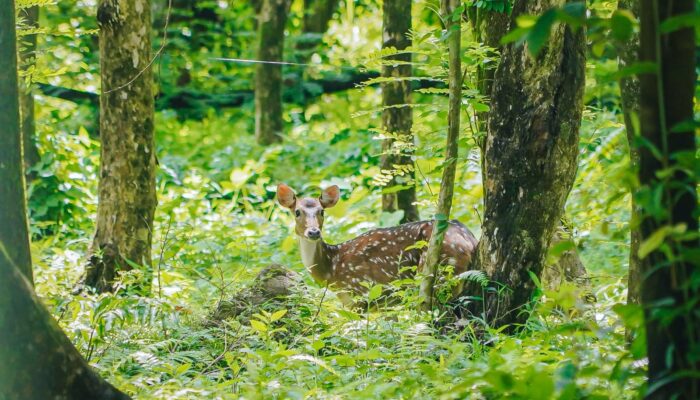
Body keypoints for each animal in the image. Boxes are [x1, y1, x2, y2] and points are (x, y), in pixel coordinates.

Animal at [276, 183, 478, 304]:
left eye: (322, 212)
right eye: (297, 212)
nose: (313, 232)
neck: (331, 270)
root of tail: (470, 241)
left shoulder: (360, 291)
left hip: (440, 271)